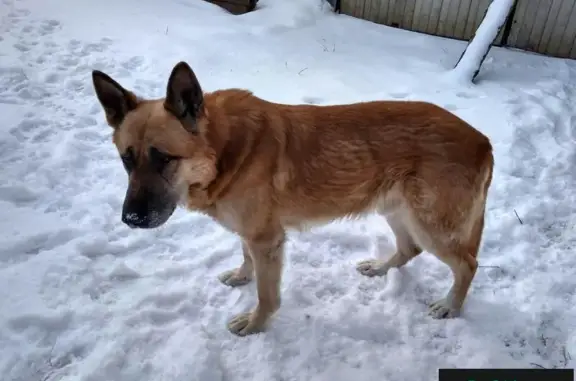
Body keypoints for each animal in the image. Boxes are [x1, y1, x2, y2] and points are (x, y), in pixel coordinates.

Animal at [92, 61, 492, 336]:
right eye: (127, 159)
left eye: (164, 158)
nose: (131, 219)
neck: (225, 148)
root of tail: (483, 140)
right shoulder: (251, 234)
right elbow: (245, 258)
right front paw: (242, 276)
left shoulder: (267, 240)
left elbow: (267, 295)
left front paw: (255, 326)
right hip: (396, 211)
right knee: (410, 248)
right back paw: (380, 268)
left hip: (430, 225)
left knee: (467, 264)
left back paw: (450, 306)